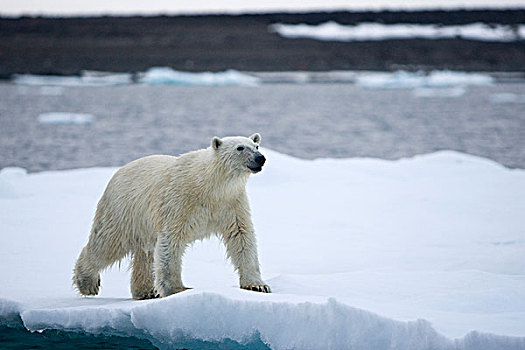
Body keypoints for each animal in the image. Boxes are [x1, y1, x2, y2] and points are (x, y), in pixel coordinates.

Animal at [72, 133, 270, 298]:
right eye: (240, 148)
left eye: (256, 145)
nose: (260, 158)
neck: (208, 186)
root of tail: (117, 173)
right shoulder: (178, 202)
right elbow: (171, 241)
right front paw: (177, 289)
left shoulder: (231, 203)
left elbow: (241, 236)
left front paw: (257, 285)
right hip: (122, 211)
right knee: (107, 244)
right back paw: (88, 283)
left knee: (144, 254)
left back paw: (145, 292)